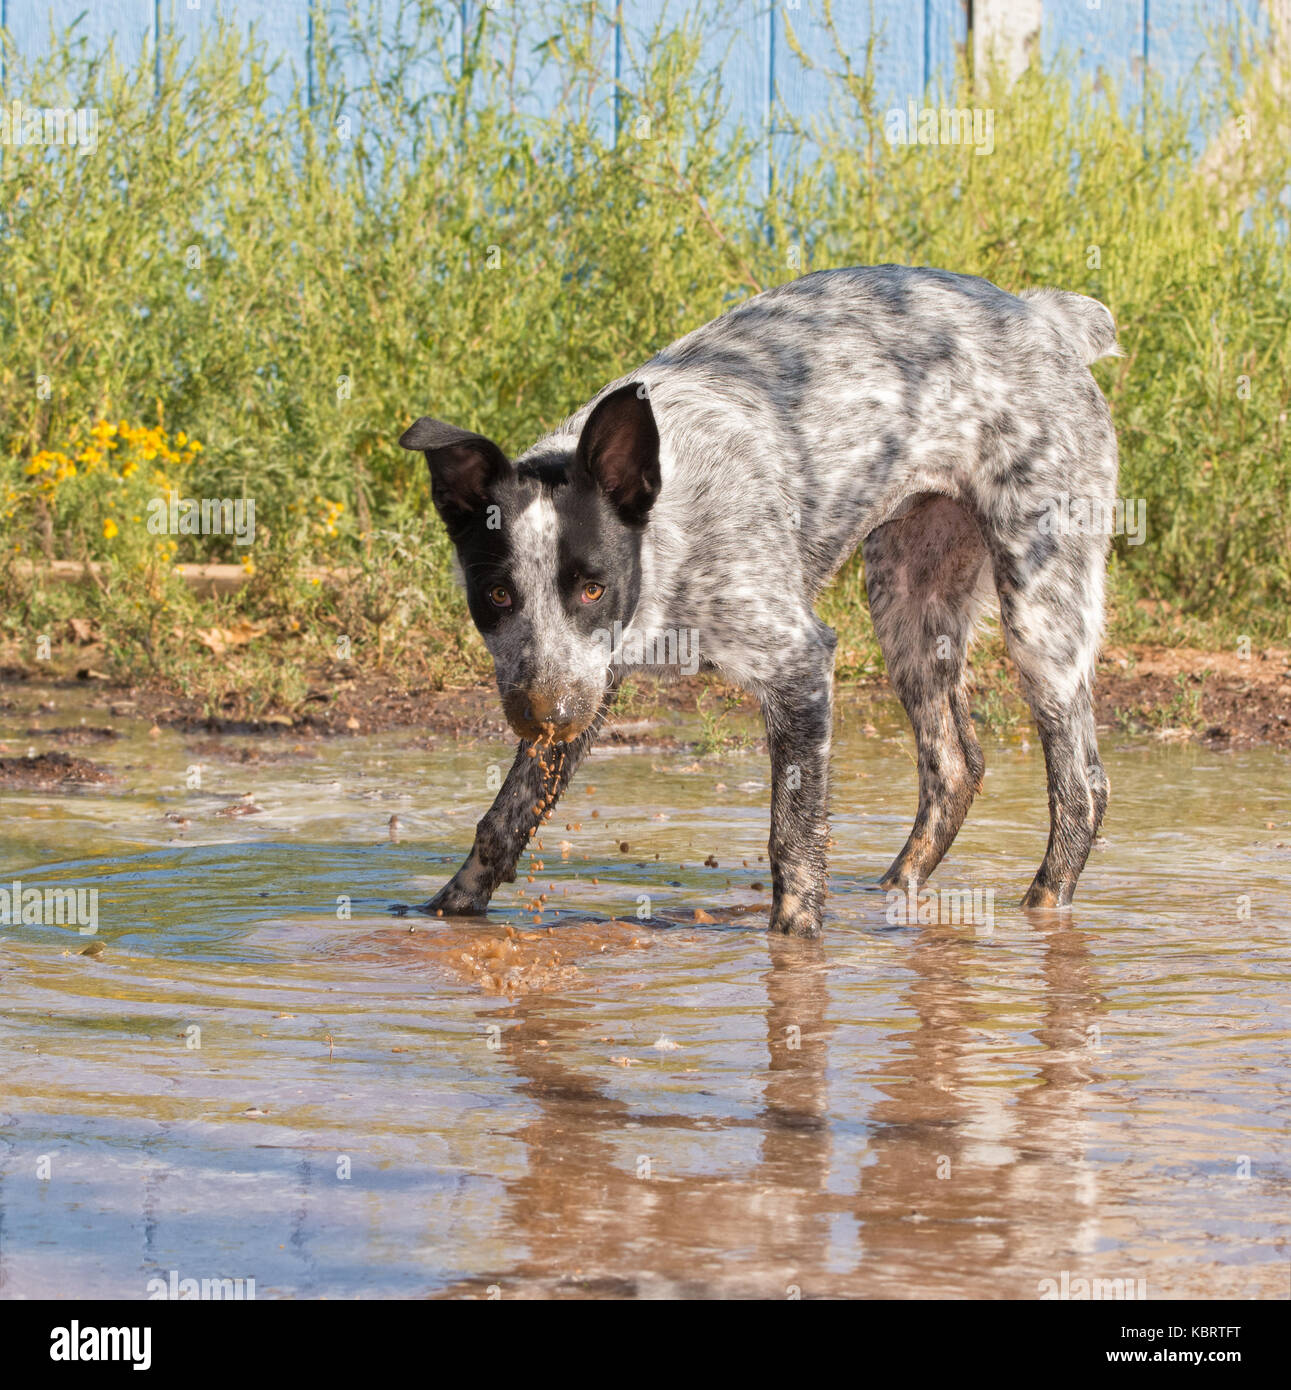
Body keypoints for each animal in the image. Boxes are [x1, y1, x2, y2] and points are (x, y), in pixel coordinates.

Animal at [397, 262, 1111, 934]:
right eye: (497, 595)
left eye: (594, 587)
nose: (544, 716)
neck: (667, 527)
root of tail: (1043, 314)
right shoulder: (588, 683)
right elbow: (504, 818)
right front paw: (447, 910)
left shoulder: (797, 665)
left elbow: (794, 843)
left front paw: (794, 947)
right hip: (908, 609)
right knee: (954, 769)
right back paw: (894, 894)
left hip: (1041, 613)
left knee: (1083, 788)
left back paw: (1045, 907)